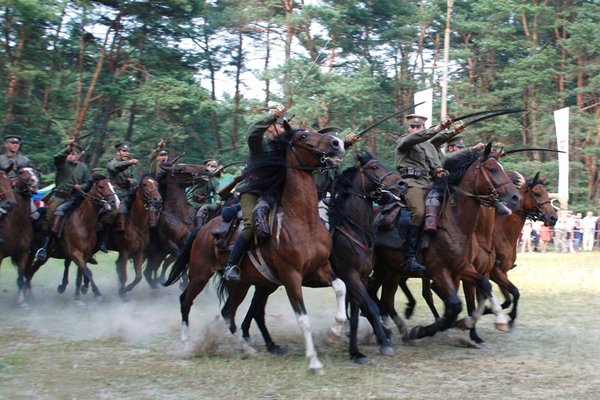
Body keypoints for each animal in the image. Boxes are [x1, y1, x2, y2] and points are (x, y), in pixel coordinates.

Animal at [24, 173, 119, 302]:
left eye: (112, 186)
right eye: (100, 186)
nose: (115, 202)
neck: (82, 222)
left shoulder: (85, 255)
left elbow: (81, 275)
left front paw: (77, 297)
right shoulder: (75, 254)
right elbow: (87, 272)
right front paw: (97, 293)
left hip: (43, 257)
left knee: (30, 271)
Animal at [164, 122, 346, 376]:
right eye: (302, 136)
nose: (337, 143)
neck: (302, 220)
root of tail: (203, 229)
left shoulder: (320, 269)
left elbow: (341, 287)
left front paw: (335, 331)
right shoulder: (291, 277)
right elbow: (303, 319)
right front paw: (314, 361)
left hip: (240, 284)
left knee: (227, 313)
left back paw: (247, 349)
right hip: (200, 274)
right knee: (185, 301)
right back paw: (187, 344)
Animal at [370, 145, 520, 342]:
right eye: (492, 169)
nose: (516, 197)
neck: (453, 223)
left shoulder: (462, 269)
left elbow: (482, 287)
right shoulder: (439, 271)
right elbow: (455, 305)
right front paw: (425, 330)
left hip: (388, 270)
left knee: (381, 298)